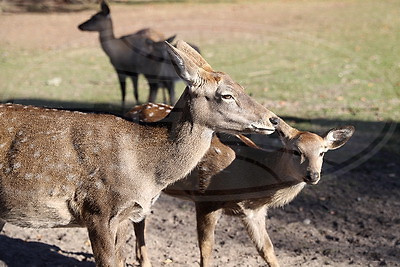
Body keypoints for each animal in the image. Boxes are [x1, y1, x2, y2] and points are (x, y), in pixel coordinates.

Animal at [0, 40, 278, 267]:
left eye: (242, 86)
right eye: (227, 95)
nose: (273, 119)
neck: (146, 171)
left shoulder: (126, 215)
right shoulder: (97, 209)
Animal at [127, 104, 354, 267]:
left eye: (322, 152)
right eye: (296, 151)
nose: (313, 175)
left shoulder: (254, 212)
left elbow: (267, 249)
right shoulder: (205, 198)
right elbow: (206, 249)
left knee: (139, 219)